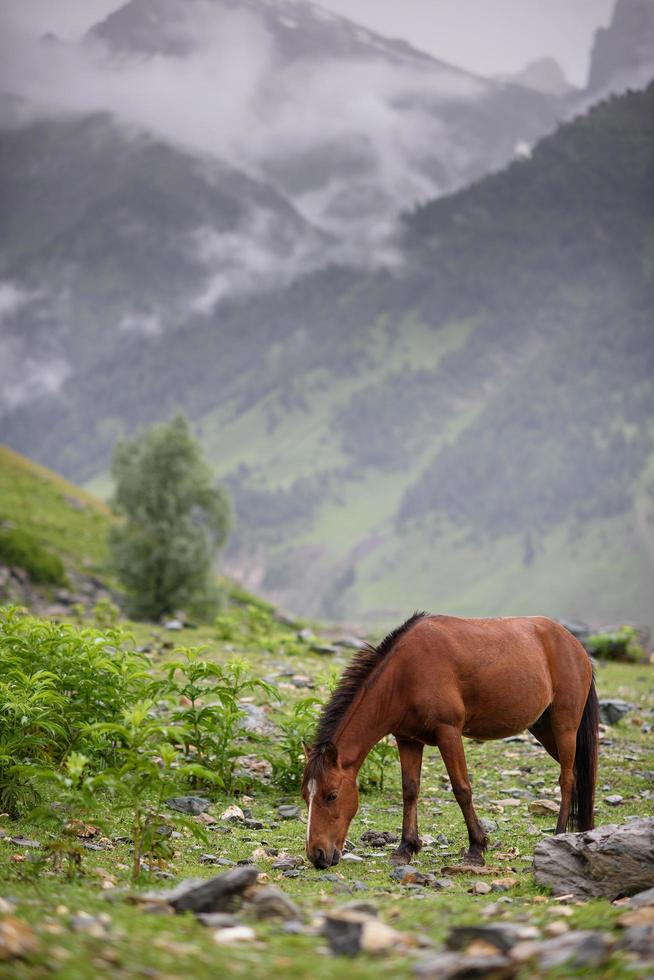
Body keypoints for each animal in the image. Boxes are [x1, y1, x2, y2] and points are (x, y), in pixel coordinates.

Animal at [302, 612, 600, 872]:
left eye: (332, 795)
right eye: (306, 795)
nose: (317, 855)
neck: (404, 675)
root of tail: (575, 645)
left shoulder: (449, 733)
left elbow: (461, 789)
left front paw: (476, 850)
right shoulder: (407, 739)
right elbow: (410, 790)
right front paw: (404, 849)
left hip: (564, 727)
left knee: (567, 779)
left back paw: (559, 835)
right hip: (545, 730)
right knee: (577, 774)